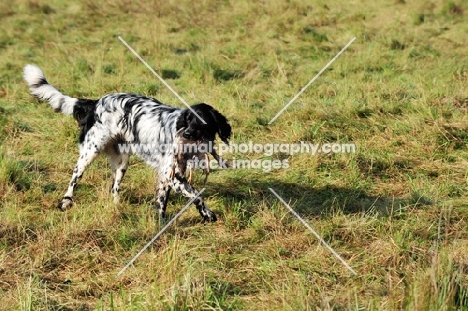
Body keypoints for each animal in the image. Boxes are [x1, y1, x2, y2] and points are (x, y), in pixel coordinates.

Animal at [23, 64, 232, 223]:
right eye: (187, 121)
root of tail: (97, 102)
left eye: (201, 122)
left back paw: (117, 207)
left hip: (122, 160)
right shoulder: (172, 175)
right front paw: (207, 214)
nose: (187, 134)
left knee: (114, 187)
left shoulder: (168, 176)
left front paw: (161, 223)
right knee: (74, 179)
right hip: (90, 152)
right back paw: (66, 202)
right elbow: (197, 195)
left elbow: (162, 202)